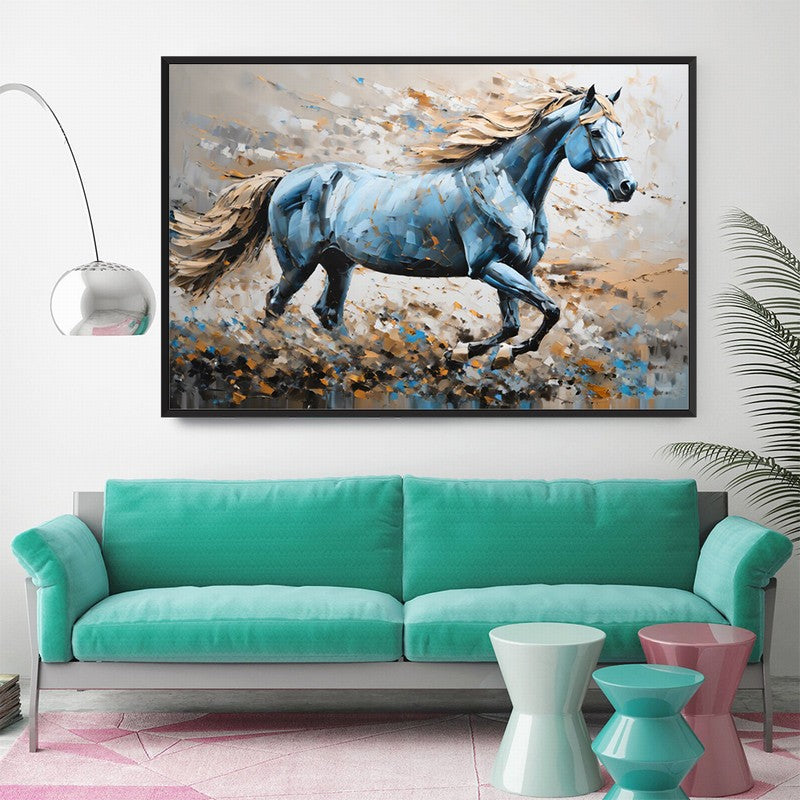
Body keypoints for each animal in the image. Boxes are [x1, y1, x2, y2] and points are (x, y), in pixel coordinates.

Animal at [170, 85, 637, 366]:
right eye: (595, 132)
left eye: (621, 130)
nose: (627, 187)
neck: (507, 186)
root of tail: (287, 178)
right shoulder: (489, 267)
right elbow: (546, 311)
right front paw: (476, 351)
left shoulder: (518, 269)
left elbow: (518, 321)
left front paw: (473, 353)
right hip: (299, 263)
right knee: (274, 303)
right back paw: (273, 355)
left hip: (339, 264)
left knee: (327, 312)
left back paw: (351, 358)